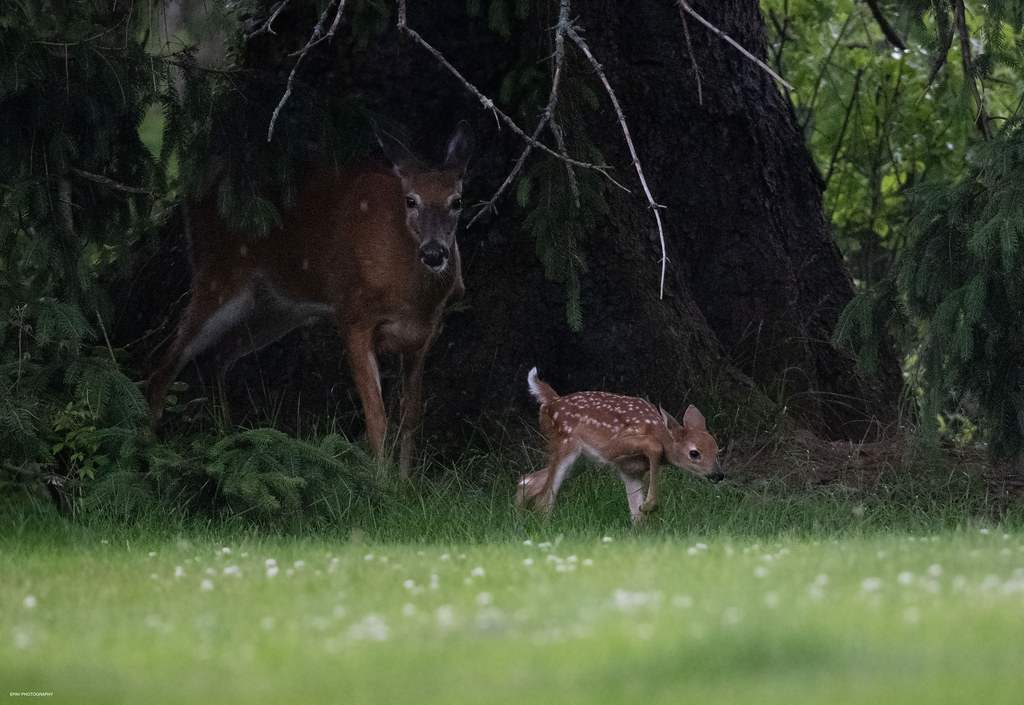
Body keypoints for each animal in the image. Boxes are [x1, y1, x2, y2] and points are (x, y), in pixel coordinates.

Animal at [146, 122, 474, 475]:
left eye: (457, 201)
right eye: (411, 200)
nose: (434, 253)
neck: (411, 298)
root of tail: (193, 183)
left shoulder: (422, 338)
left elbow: (410, 417)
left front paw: (405, 482)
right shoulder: (352, 314)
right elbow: (377, 418)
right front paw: (380, 482)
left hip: (275, 306)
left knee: (216, 358)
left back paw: (230, 443)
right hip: (220, 271)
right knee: (163, 369)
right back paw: (148, 450)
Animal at [517, 367, 723, 524]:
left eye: (717, 450)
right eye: (694, 453)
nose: (718, 475)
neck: (655, 429)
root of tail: (551, 401)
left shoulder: (632, 471)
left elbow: (636, 517)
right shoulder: (614, 445)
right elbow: (655, 447)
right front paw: (648, 506)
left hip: (581, 462)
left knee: (528, 480)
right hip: (567, 444)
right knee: (543, 499)